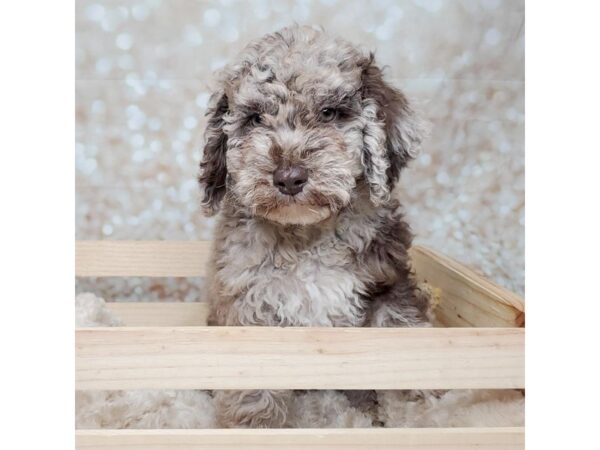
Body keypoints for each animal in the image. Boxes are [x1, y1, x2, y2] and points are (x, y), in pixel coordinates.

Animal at [198, 26, 432, 428]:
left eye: (329, 113)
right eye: (255, 119)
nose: (289, 177)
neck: (306, 236)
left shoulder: (388, 283)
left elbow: (400, 334)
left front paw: (415, 411)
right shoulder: (249, 302)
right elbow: (253, 381)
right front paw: (256, 426)